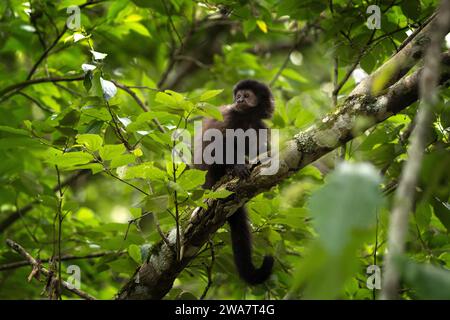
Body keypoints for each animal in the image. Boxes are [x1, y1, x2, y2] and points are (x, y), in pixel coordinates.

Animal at [194, 80, 274, 284]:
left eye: (246, 95)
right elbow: (215, 144)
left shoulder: (260, 124)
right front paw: (236, 166)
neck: (247, 116)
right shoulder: (230, 115)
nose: (238, 100)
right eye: (237, 95)